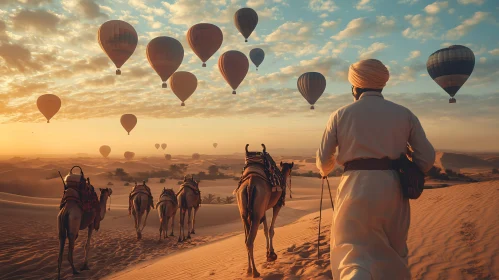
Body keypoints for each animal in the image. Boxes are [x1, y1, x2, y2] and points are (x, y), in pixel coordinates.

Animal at [237, 144, 294, 278]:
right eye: (290, 169)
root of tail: (250, 184)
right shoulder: (277, 205)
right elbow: (271, 230)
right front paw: (272, 254)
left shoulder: (263, 209)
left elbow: (265, 230)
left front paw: (268, 254)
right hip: (256, 213)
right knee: (250, 241)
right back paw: (255, 272)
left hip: (244, 213)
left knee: (246, 239)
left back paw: (248, 270)